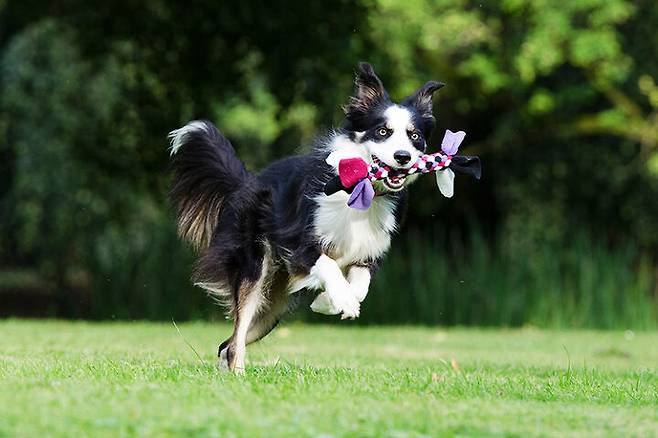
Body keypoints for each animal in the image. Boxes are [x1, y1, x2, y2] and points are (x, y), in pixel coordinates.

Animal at [168, 62, 444, 373]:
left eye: (415, 136)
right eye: (383, 131)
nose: (403, 156)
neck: (362, 190)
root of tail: (246, 182)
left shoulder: (368, 252)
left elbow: (361, 286)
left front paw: (328, 302)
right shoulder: (298, 244)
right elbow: (329, 266)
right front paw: (342, 300)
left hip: (272, 307)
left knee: (226, 344)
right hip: (255, 269)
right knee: (236, 338)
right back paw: (238, 375)